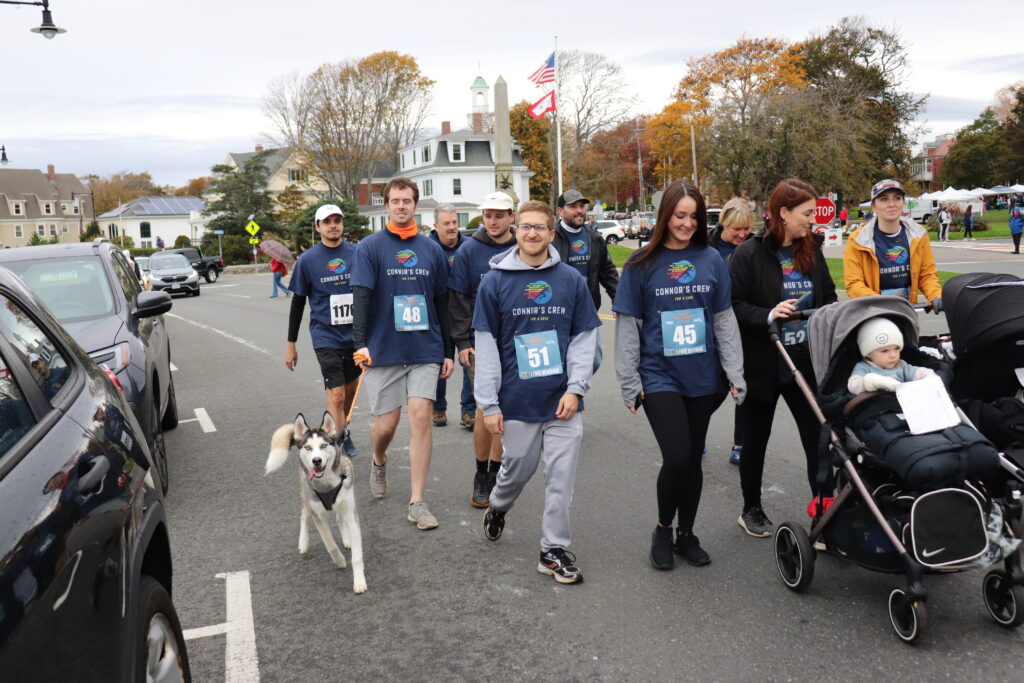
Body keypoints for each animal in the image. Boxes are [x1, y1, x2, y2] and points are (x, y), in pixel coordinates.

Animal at [266, 411, 366, 593]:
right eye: (308, 448)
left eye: (324, 445)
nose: (316, 460)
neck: (327, 484)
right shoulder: (318, 516)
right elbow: (330, 544)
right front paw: (340, 561)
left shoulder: (350, 513)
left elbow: (356, 556)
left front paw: (359, 582)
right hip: (307, 497)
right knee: (304, 514)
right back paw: (303, 542)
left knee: (339, 519)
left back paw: (346, 539)